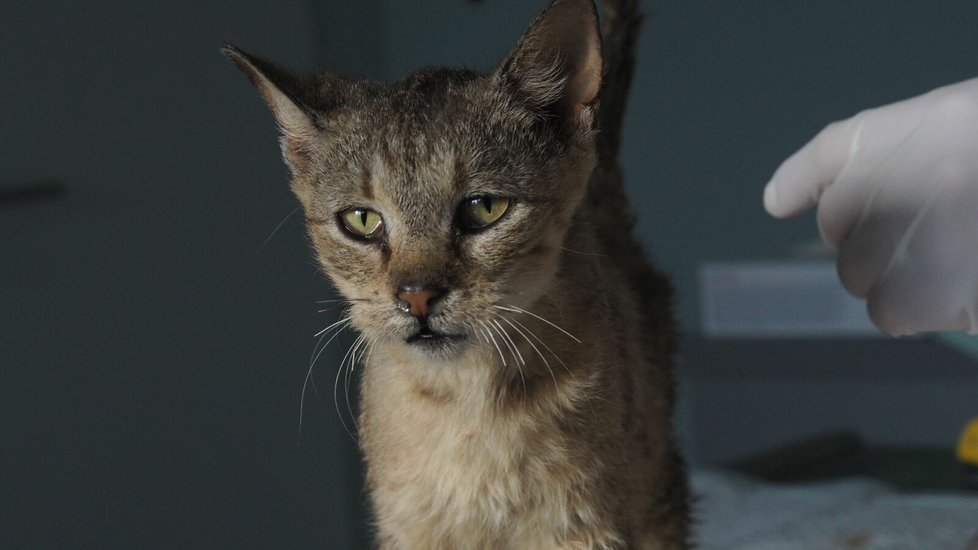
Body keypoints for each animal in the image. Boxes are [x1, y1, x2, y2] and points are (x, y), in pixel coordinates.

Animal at [225, 0, 692, 548]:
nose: (417, 297)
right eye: (360, 220)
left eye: (484, 208)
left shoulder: (582, 527)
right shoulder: (405, 526)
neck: (465, 402)